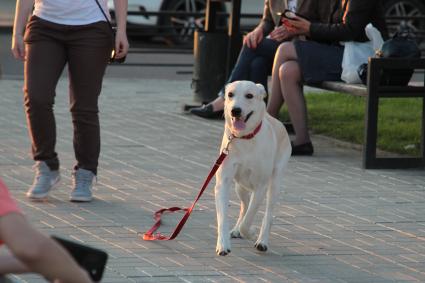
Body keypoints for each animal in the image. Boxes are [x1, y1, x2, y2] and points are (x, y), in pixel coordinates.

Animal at [214, 80, 290, 258]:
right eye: (230, 94)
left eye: (249, 95)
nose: (235, 110)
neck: (245, 139)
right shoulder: (222, 183)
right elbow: (223, 218)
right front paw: (223, 245)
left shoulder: (260, 187)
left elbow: (249, 219)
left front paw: (251, 233)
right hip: (239, 186)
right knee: (244, 205)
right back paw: (236, 230)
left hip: (275, 182)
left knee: (268, 214)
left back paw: (262, 241)